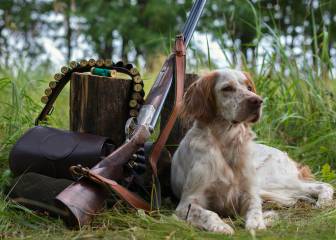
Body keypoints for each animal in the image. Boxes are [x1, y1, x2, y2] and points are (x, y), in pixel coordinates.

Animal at [171, 69, 334, 234]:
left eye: (249, 87)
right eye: (227, 88)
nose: (257, 101)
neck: (227, 142)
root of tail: (287, 156)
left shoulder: (249, 193)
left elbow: (255, 209)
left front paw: (257, 224)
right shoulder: (187, 202)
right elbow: (208, 213)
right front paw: (221, 226)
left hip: (270, 181)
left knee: (323, 185)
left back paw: (324, 201)